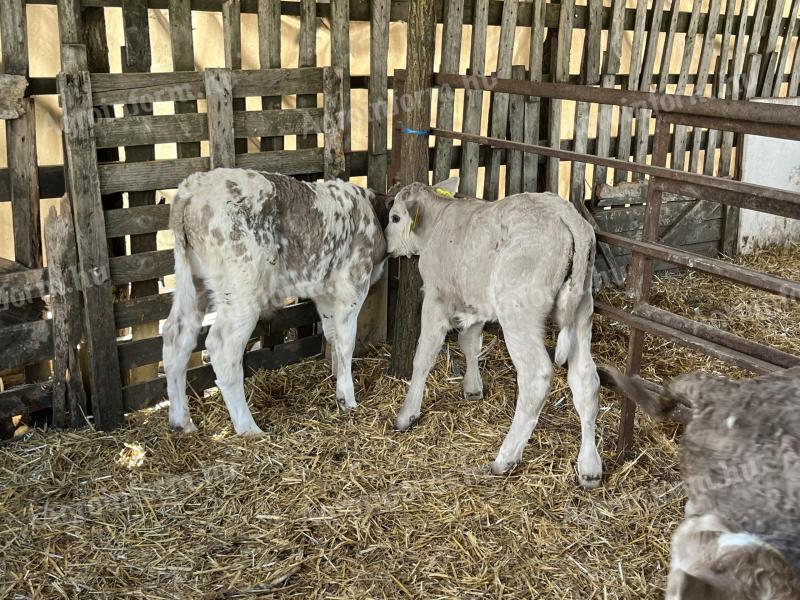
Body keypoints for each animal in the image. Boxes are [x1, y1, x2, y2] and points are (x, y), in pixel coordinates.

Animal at [162, 166, 388, 434]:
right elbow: (346, 342)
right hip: (242, 290)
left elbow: (332, 335)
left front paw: (336, 377)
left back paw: (181, 421)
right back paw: (248, 428)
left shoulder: (324, 294)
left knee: (176, 336)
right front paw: (348, 398)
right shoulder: (351, 288)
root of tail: (192, 188)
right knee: (222, 348)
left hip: (192, 280)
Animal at [384, 178, 604, 488]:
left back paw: (505, 458)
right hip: (581, 311)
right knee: (586, 379)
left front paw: (406, 415)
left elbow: (424, 354)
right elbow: (469, 341)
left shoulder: (437, 297)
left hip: (518, 313)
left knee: (536, 376)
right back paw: (589, 467)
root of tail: (564, 213)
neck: (438, 221)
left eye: (395, 217)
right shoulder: (476, 300)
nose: (387, 246)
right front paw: (473, 387)